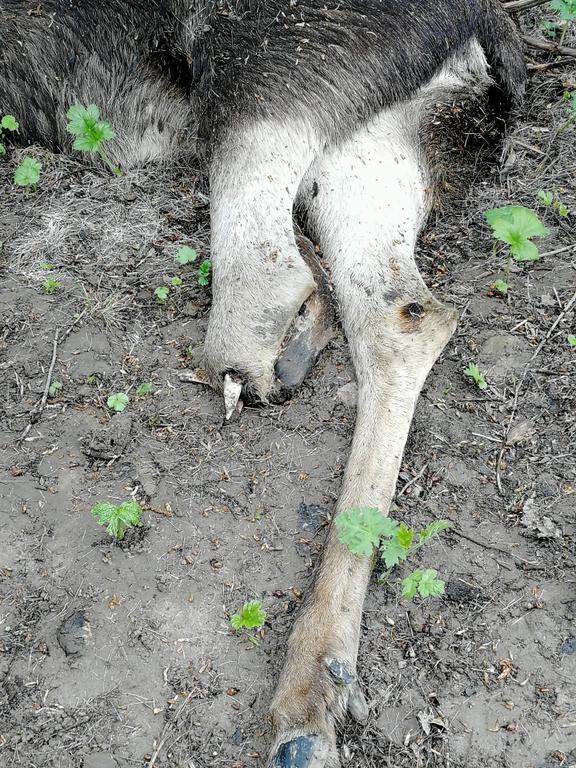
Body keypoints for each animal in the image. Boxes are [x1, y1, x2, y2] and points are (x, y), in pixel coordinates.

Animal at [1, 1, 526, 765]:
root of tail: (488, 31)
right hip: (370, 139)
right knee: (401, 312)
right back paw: (314, 688)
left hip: (267, 68)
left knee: (268, 263)